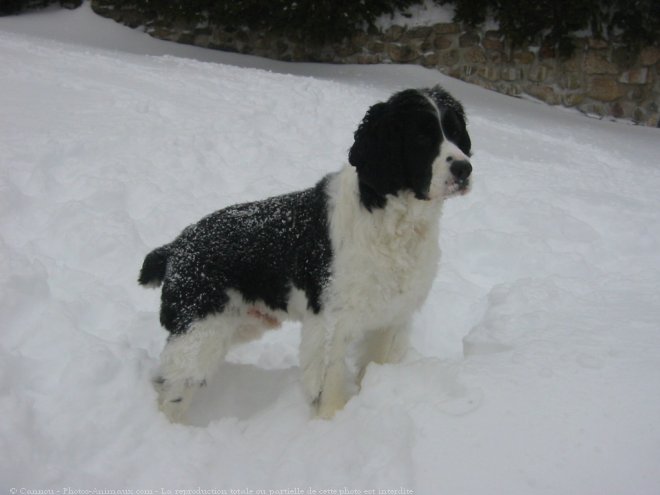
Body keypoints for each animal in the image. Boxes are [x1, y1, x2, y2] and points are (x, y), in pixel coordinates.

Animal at [139, 85, 472, 422]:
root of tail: (174, 248)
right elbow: (328, 384)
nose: (464, 168)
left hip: (232, 324)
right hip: (199, 331)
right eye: (420, 136)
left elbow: (378, 364)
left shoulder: (394, 316)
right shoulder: (331, 321)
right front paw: (331, 423)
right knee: (173, 385)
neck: (391, 221)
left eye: (456, 132)